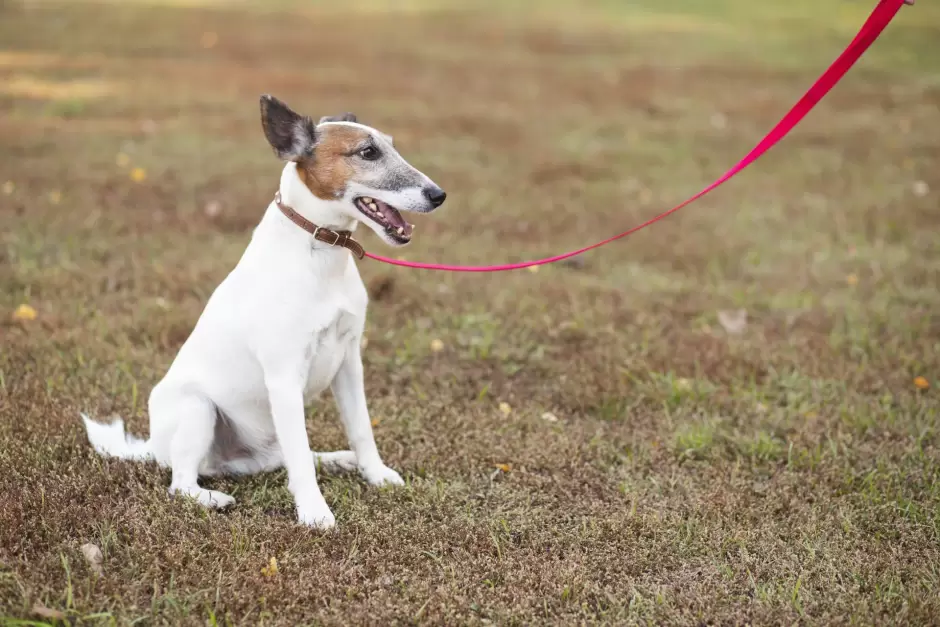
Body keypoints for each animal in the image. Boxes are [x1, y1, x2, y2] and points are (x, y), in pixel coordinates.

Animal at [81, 94, 448, 528]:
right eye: (368, 152)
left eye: (391, 146)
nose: (439, 195)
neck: (320, 249)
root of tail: (153, 447)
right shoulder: (285, 377)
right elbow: (301, 462)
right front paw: (315, 513)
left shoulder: (349, 363)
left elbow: (360, 430)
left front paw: (374, 473)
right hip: (198, 409)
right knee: (184, 481)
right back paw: (212, 498)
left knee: (288, 457)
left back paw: (337, 459)